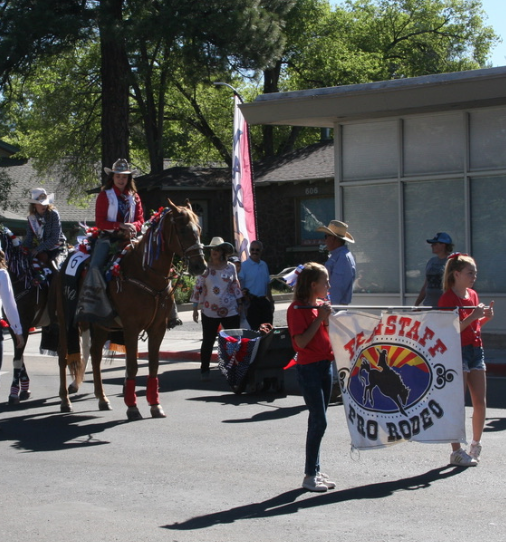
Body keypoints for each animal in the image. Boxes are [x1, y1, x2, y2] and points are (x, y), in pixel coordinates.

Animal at [55, 200, 206, 420]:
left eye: (199, 229)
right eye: (183, 229)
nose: (200, 266)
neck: (144, 274)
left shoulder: (157, 328)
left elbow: (153, 365)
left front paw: (155, 405)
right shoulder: (131, 327)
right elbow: (132, 365)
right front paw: (132, 407)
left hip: (101, 324)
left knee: (95, 355)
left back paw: (102, 399)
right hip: (64, 320)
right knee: (63, 356)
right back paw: (65, 401)